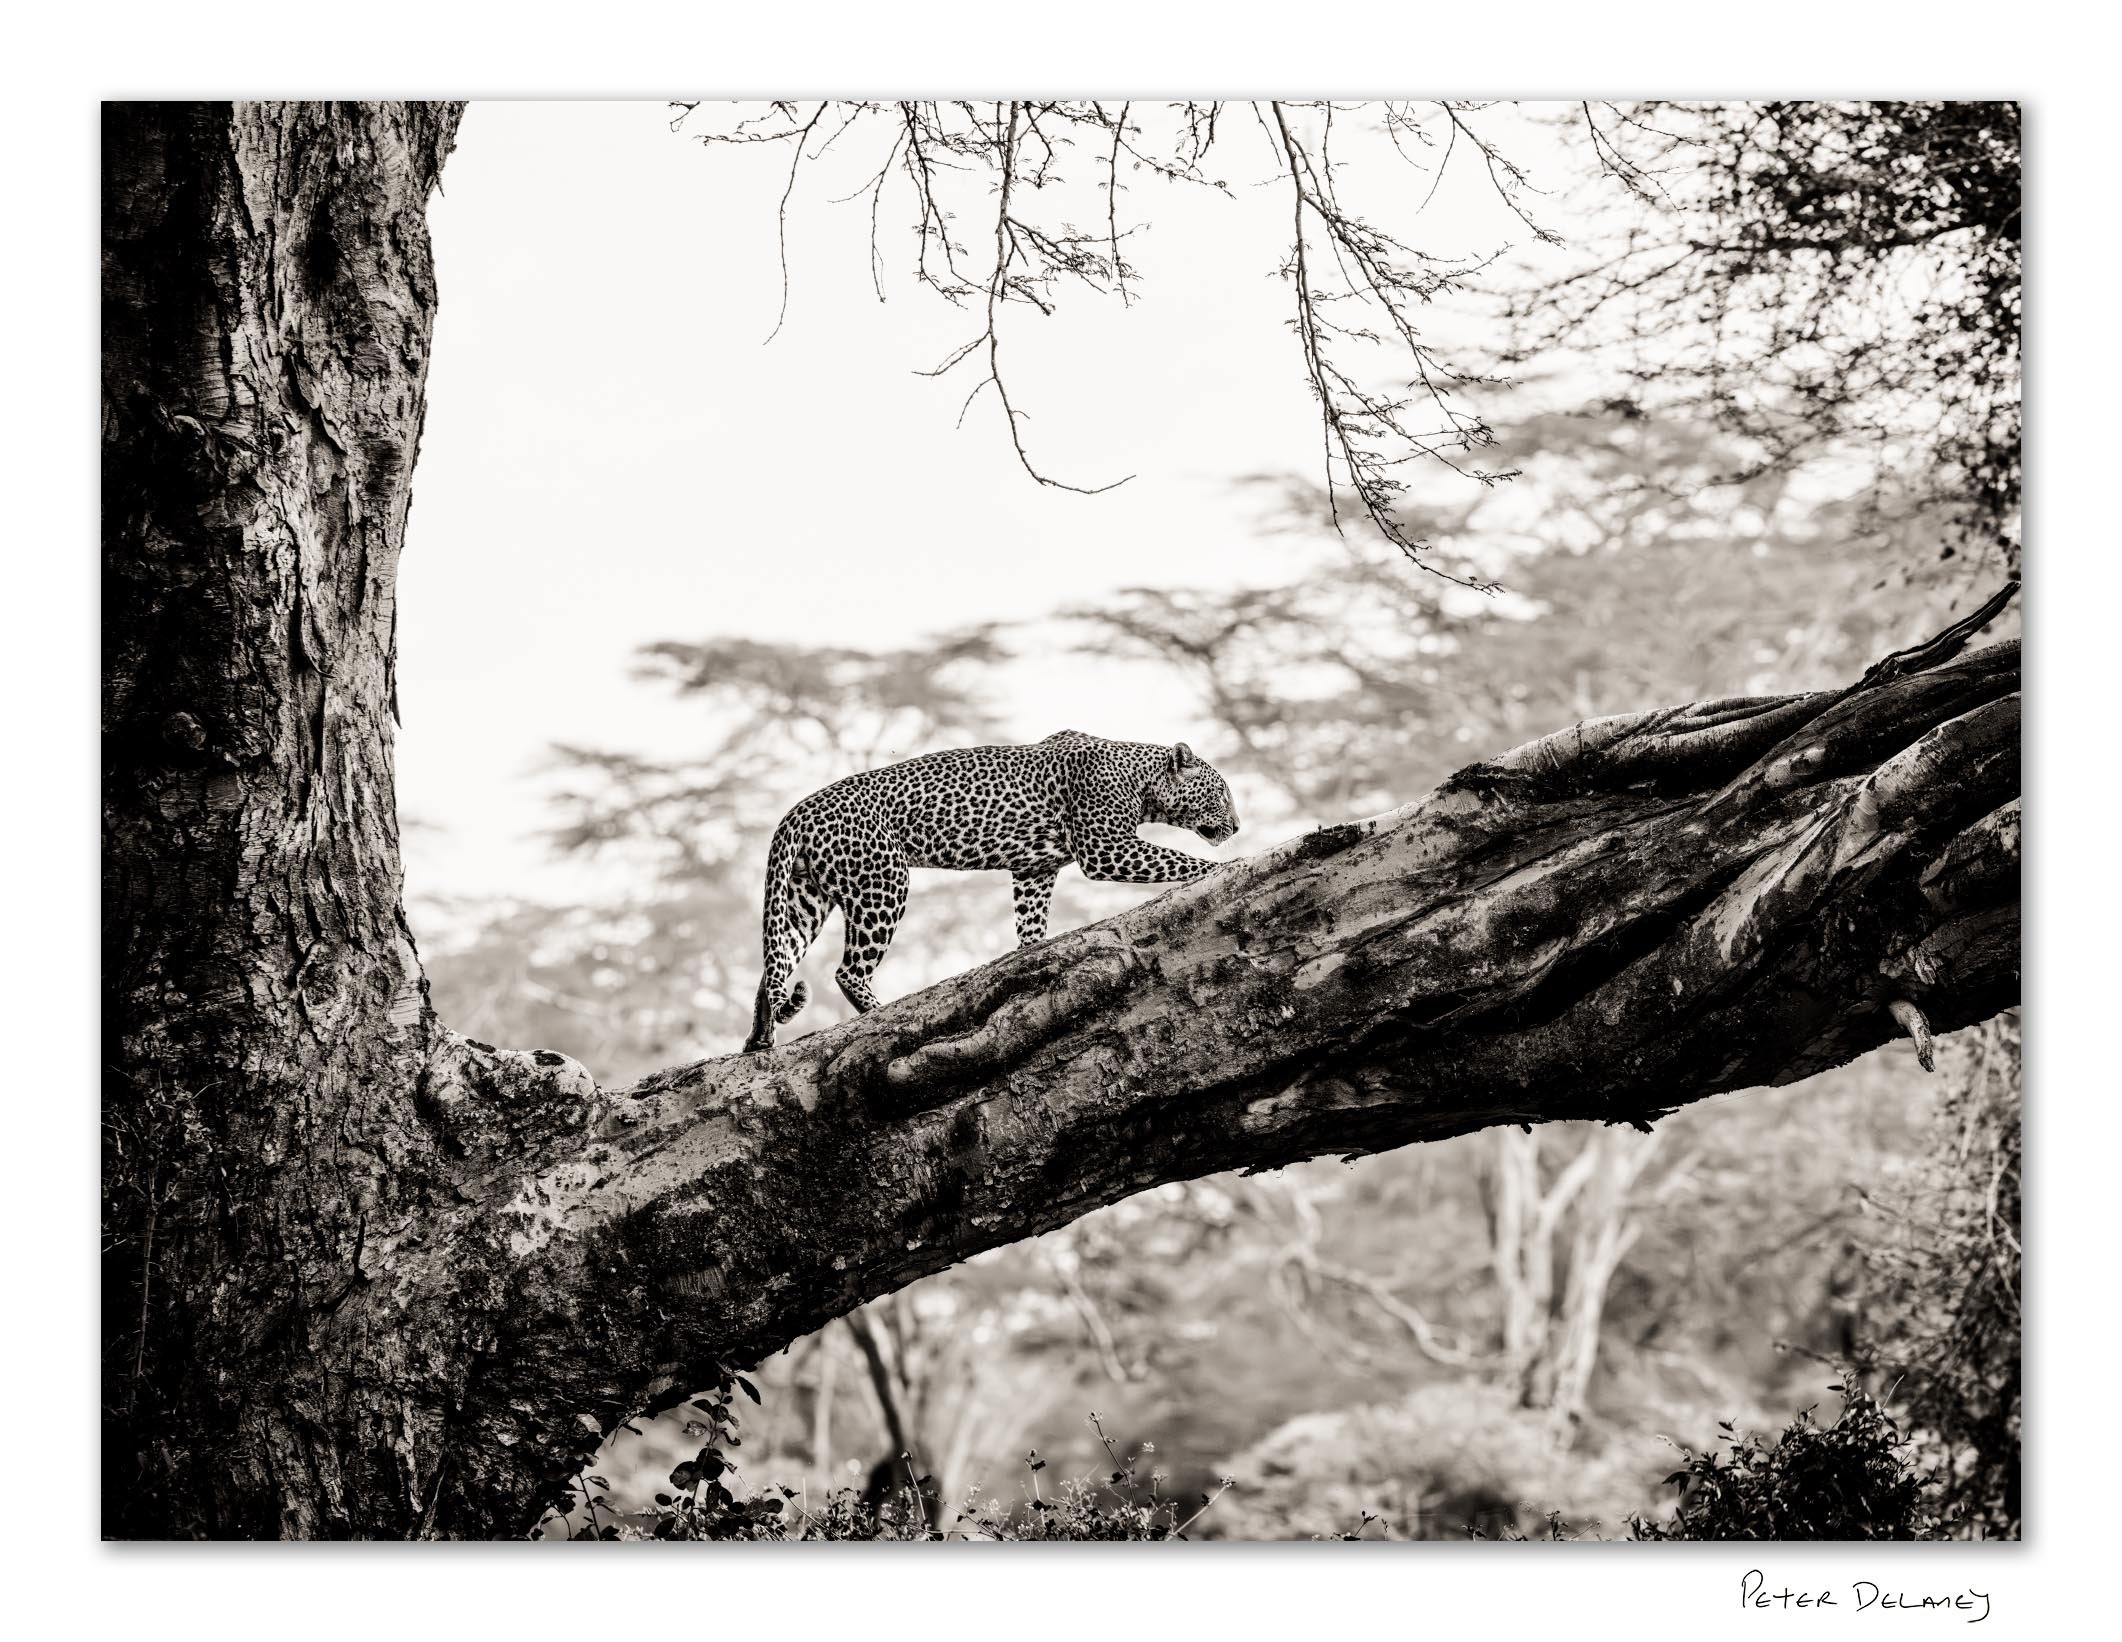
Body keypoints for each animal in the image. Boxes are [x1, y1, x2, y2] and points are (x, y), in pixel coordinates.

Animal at [743, 731, 1240, 1052]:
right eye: (1222, 793)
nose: (1237, 827)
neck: (1141, 778)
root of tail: (795, 813)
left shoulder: (1034, 869)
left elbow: (1031, 923)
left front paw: (1031, 952)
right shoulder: (1106, 848)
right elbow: (1178, 859)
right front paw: (1228, 864)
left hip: (804, 898)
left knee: (774, 967)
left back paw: (760, 1039)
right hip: (883, 882)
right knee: (847, 971)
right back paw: (877, 1012)